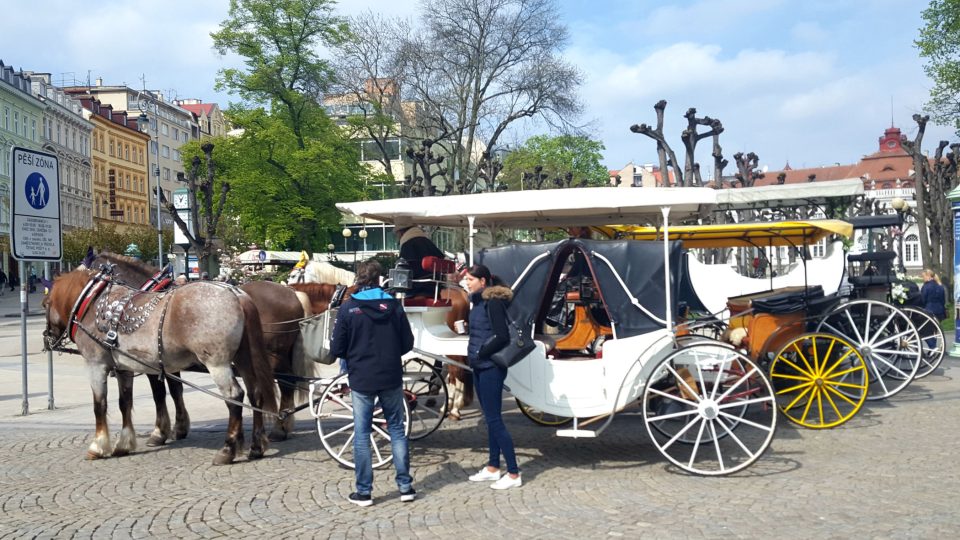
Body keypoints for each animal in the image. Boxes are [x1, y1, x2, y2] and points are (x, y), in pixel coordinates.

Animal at [45, 268, 278, 462]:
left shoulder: (96, 365)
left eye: (45, 303)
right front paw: (124, 444)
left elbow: (100, 405)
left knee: (234, 397)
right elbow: (125, 403)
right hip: (243, 358)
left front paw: (98, 447)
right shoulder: (124, 368)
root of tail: (235, 294)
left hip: (217, 363)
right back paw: (256, 446)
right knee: (255, 394)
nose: (47, 338)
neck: (94, 303)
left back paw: (227, 450)